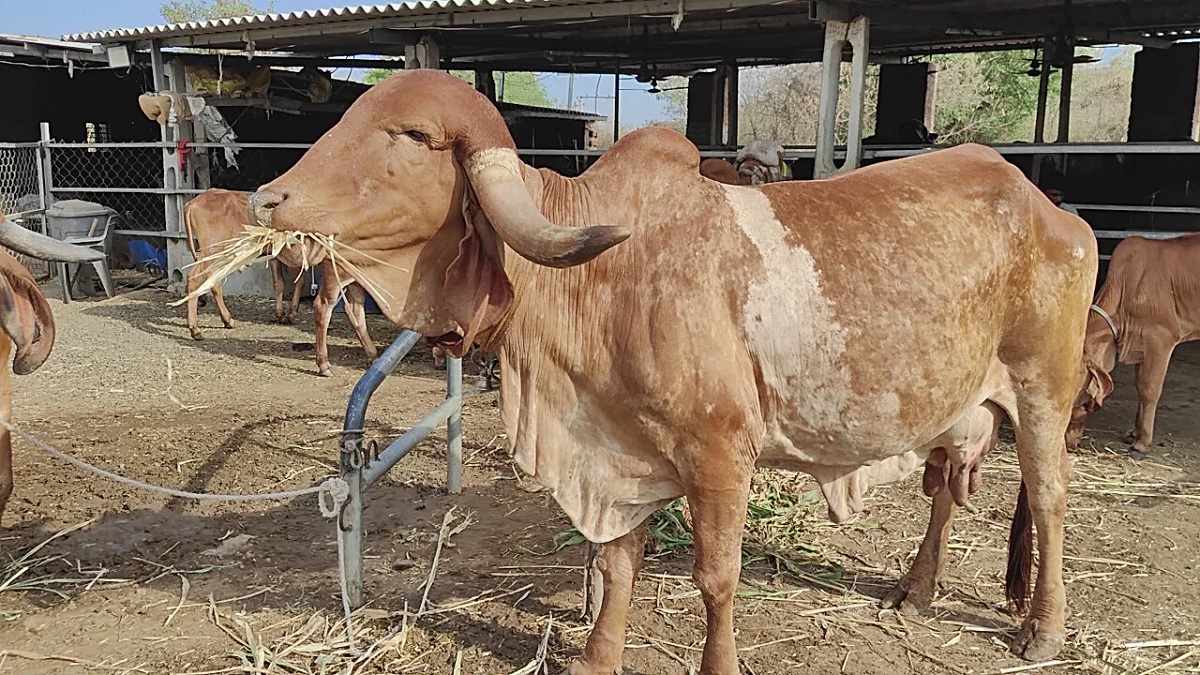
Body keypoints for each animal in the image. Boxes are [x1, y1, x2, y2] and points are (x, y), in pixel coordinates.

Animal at [182, 188, 377, 377]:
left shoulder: (277, 257)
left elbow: (279, 283)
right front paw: (291, 312)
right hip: (213, 251)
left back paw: (226, 320)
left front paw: (281, 313)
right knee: (194, 278)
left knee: (213, 283)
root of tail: (194, 202)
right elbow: (299, 281)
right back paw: (195, 329)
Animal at [245, 70, 1097, 673]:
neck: (600, 280)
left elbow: (715, 575)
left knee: (1051, 500)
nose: (267, 196)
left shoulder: (719, 453)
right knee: (947, 487)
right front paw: (598, 655)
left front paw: (717, 662)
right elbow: (617, 563)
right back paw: (917, 588)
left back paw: (1043, 630)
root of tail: (1051, 208)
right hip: (958, 403)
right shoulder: (617, 456)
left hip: (1042, 393)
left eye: (413, 132)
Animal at [1067, 233, 1200, 458]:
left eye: (1086, 405)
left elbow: (1149, 390)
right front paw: (1134, 434)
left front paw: (1141, 443)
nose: (1070, 444)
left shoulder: (1160, 340)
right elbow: (1139, 385)